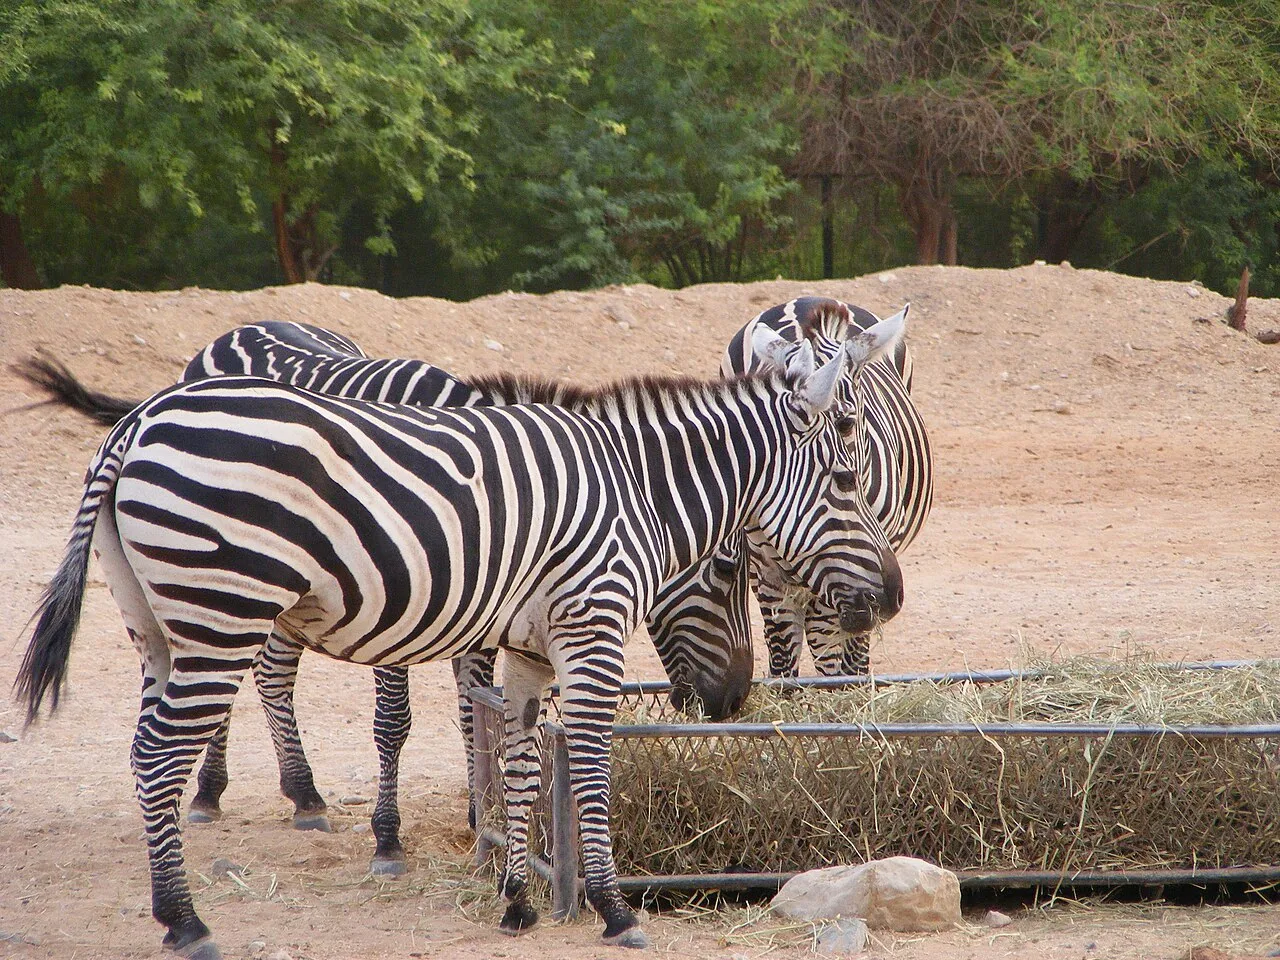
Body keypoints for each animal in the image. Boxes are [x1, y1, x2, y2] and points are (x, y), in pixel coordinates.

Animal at [16, 322, 903, 955]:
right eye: (845, 481)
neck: (628, 486)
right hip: (224, 607)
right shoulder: (590, 621)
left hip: (161, 622)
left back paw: (192, 876)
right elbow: (584, 757)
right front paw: (612, 906)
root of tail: (138, 422)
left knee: (153, 744)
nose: (892, 597)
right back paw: (188, 919)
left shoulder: (527, 640)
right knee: (165, 751)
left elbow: (519, 754)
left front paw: (517, 899)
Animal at [722, 297, 932, 677]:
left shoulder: (856, 569)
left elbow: (836, 650)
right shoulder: (767, 573)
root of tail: (803, 299)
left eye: (845, 423)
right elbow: (783, 655)